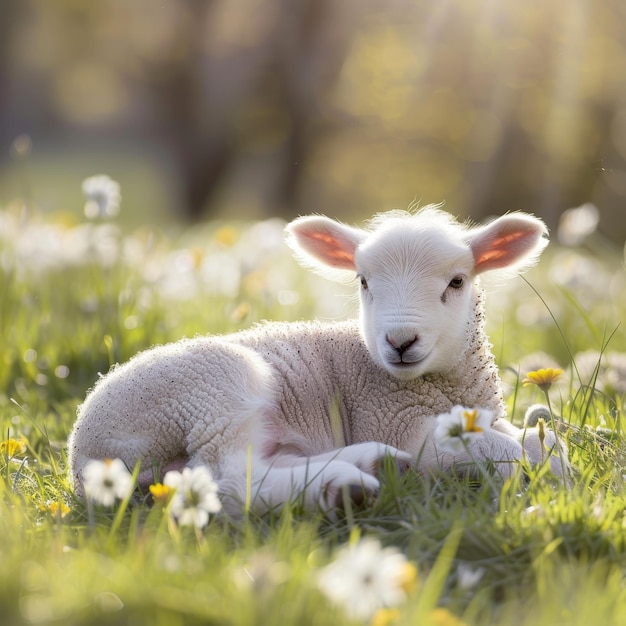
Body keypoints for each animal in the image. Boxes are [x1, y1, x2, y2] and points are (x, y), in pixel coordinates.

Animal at [68, 205, 564, 512]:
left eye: (457, 282)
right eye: (363, 281)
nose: (400, 341)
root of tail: (84, 462)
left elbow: (541, 442)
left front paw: (556, 466)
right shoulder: (394, 421)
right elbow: (503, 450)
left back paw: (368, 466)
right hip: (212, 390)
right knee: (230, 480)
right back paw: (346, 488)